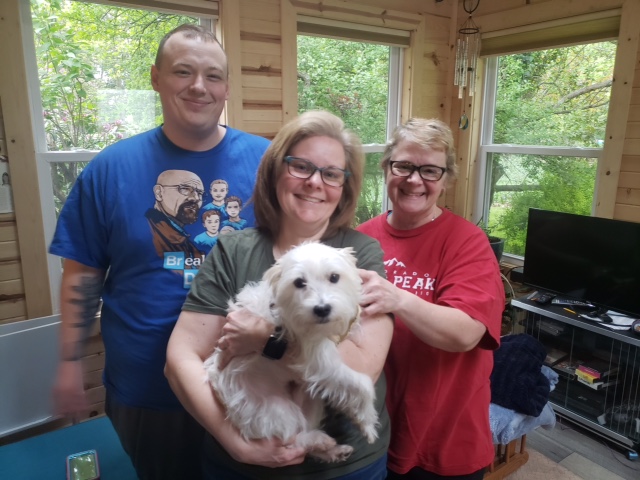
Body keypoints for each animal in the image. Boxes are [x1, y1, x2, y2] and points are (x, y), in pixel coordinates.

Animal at [204, 241, 379, 462]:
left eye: (334, 277)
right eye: (299, 282)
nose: (322, 309)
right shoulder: (319, 362)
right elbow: (364, 384)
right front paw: (369, 423)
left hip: (311, 399)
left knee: (305, 434)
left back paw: (333, 450)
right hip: (277, 411)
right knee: (293, 440)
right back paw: (320, 441)